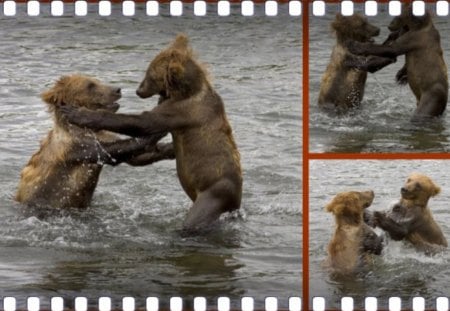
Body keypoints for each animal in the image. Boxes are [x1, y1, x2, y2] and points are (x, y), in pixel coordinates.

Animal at [15, 75, 174, 212]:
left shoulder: (103, 136)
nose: (117, 89)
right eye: (90, 85)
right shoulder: (75, 147)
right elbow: (112, 151)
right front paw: (156, 132)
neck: (88, 130)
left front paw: (169, 148)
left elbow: (136, 157)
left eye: (97, 81)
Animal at [60, 34, 244, 234]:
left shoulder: (184, 111)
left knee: (196, 218)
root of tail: (236, 205)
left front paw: (77, 113)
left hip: (215, 193)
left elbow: (143, 121)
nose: (138, 90)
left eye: (150, 75)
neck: (184, 91)